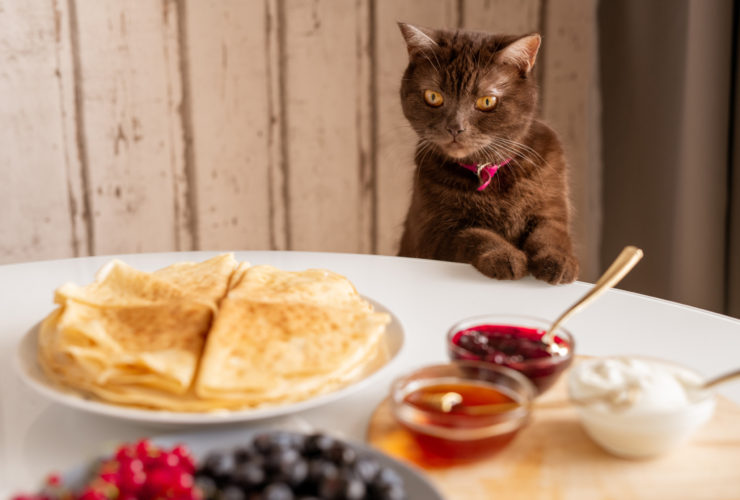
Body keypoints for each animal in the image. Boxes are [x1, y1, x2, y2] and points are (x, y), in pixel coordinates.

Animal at [398, 23, 580, 284]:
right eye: (433, 97)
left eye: (487, 101)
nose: (455, 127)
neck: (488, 171)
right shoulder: (434, 235)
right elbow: (475, 234)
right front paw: (505, 256)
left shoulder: (551, 209)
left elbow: (550, 234)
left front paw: (558, 260)